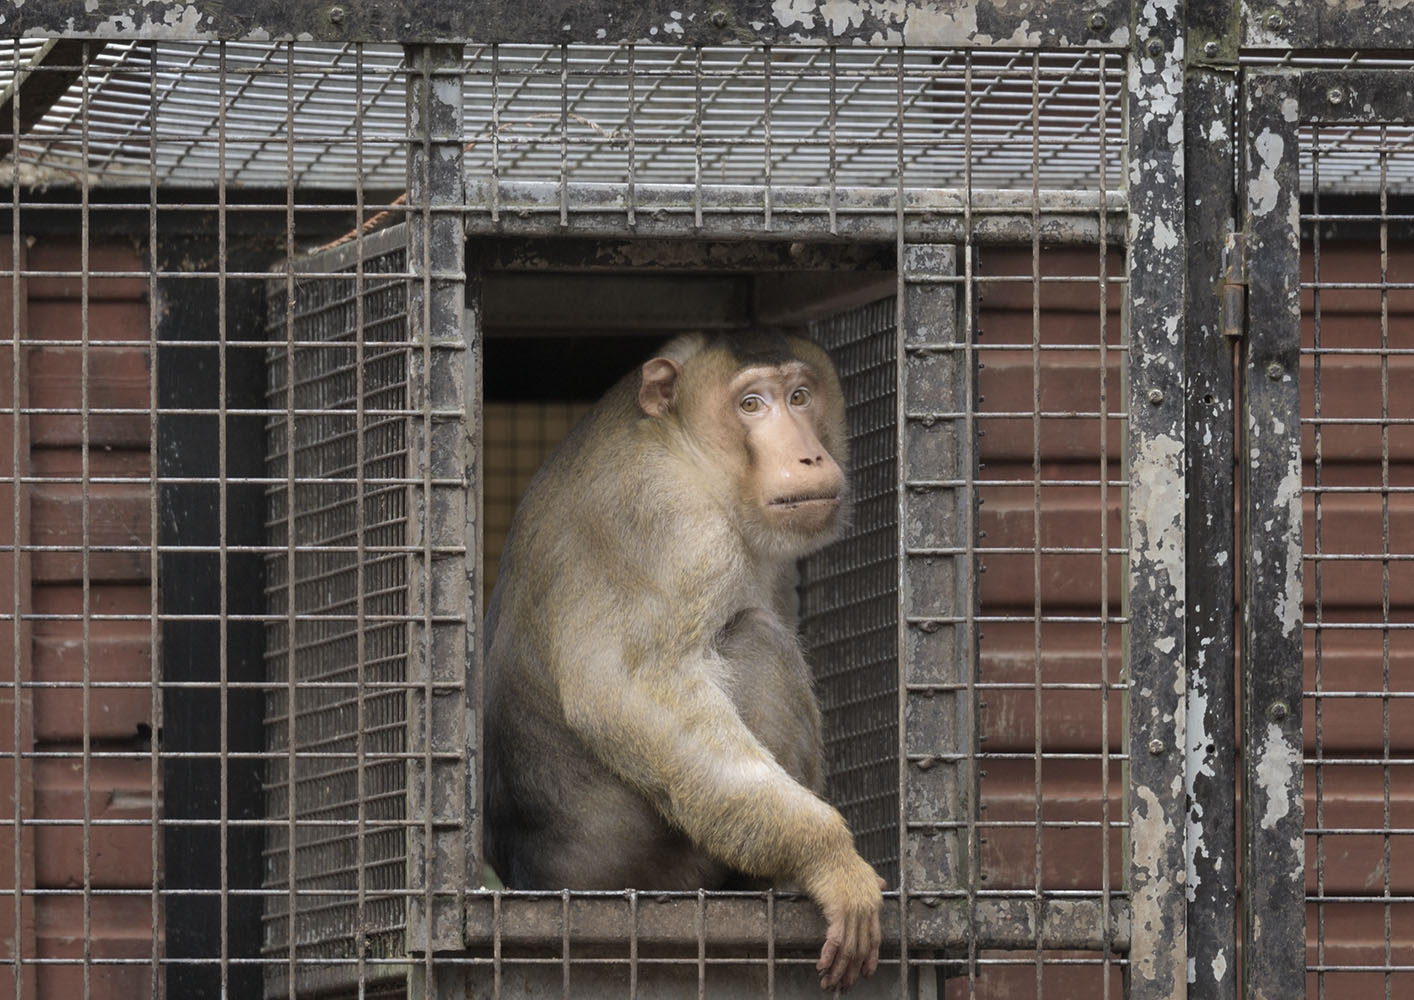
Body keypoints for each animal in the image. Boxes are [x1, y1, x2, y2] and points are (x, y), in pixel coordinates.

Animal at [483, 329, 884, 991]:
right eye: (751, 405)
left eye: (800, 396)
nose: (808, 457)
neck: (682, 446)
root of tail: (534, 878)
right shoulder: (673, 529)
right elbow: (638, 692)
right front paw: (829, 857)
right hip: (648, 863)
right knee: (759, 639)